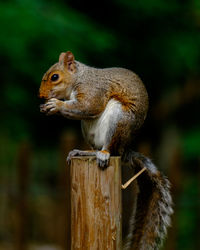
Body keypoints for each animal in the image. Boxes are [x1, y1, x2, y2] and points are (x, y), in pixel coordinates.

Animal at [39, 51, 173, 250]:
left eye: (55, 77)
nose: (40, 95)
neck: (80, 77)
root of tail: (124, 149)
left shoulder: (93, 91)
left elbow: (89, 106)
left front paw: (57, 105)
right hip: (87, 128)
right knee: (94, 146)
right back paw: (84, 152)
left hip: (118, 119)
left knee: (110, 148)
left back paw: (103, 154)